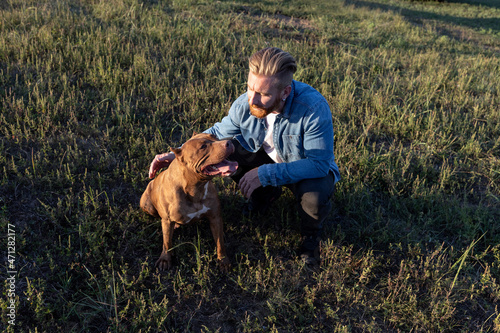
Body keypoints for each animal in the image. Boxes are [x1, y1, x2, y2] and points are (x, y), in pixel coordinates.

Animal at [139, 132, 236, 270]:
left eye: (215, 136)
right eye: (203, 147)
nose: (230, 142)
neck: (195, 188)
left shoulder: (215, 217)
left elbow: (220, 242)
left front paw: (223, 260)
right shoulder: (167, 221)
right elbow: (167, 242)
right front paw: (165, 259)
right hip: (147, 204)